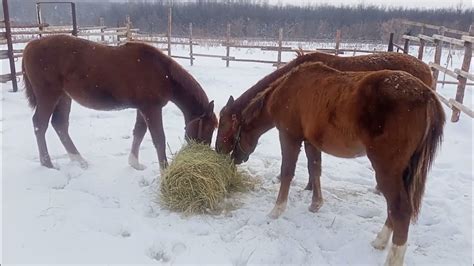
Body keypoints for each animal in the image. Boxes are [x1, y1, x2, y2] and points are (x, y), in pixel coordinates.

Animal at [20, 35, 217, 169]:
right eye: (208, 128)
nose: (203, 152)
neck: (162, 73)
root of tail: (31, 45)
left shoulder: (143, 108)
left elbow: (139, 133)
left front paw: (134, 163)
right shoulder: (152, 109)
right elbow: (158, 139)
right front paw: (164, 170)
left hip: (63, 97)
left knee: (60, 125)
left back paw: (78, 160)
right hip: (48, 95)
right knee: (40, 124)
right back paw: (47, 164)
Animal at [230, 61, 444, 264]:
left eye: (234, 134)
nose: (234, 159)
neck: (289, 89)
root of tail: (426, 94)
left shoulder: (290, 137)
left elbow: (287, 172)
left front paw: (277, 210)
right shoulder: (311, 142)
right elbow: (315, 169)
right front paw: (315, 204)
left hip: (387, 170)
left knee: (400, 209)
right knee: (396, 208)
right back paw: (380, 241)